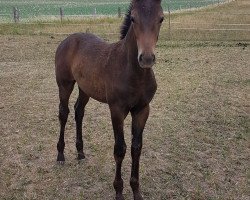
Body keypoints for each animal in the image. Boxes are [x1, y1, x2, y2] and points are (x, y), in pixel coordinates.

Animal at [54, 0, 164, 198]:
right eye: (133, 18)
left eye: (161, 18)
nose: (146, 58)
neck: (133, 73)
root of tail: (68, 39)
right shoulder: (117, 110)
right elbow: (120, 149)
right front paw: (119, 191)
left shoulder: (143, 109)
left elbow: (136, 148)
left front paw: (136, 191)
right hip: (65, 84)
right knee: (63, 113)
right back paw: (60, 156)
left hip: (85, 88)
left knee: (78, 111)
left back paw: (80, 153)